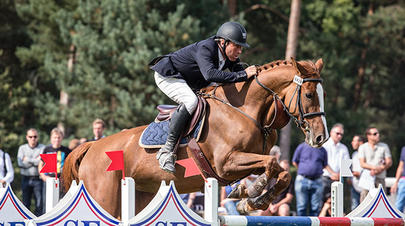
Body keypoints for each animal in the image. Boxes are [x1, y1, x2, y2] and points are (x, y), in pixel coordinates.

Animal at [62, 57, 328, 218]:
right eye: (309, 94)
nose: (320, 138)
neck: (245, 109)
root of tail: (92, 147)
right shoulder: (226, 164)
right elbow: (271, 165)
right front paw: (251, 191)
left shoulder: (250, 159)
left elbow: (281, 173)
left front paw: (251, 200)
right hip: (103, 197)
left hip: (141, 195)